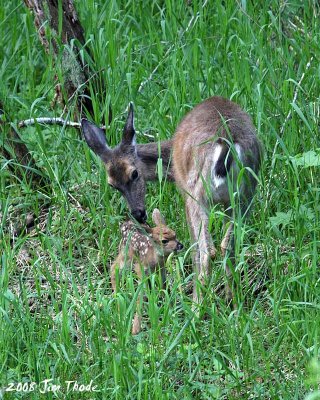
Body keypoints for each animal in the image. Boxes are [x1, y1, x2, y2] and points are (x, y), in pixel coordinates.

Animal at [81, 97, 262, 304]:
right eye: (112, 185)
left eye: (134, 173)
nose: (138, 214)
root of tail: (226, 141)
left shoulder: (185, 193)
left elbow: (194, 247)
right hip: (245, 195)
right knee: (228, 245)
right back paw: (232, 300)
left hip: (198, 193)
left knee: (207, 250)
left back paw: (196, 304)